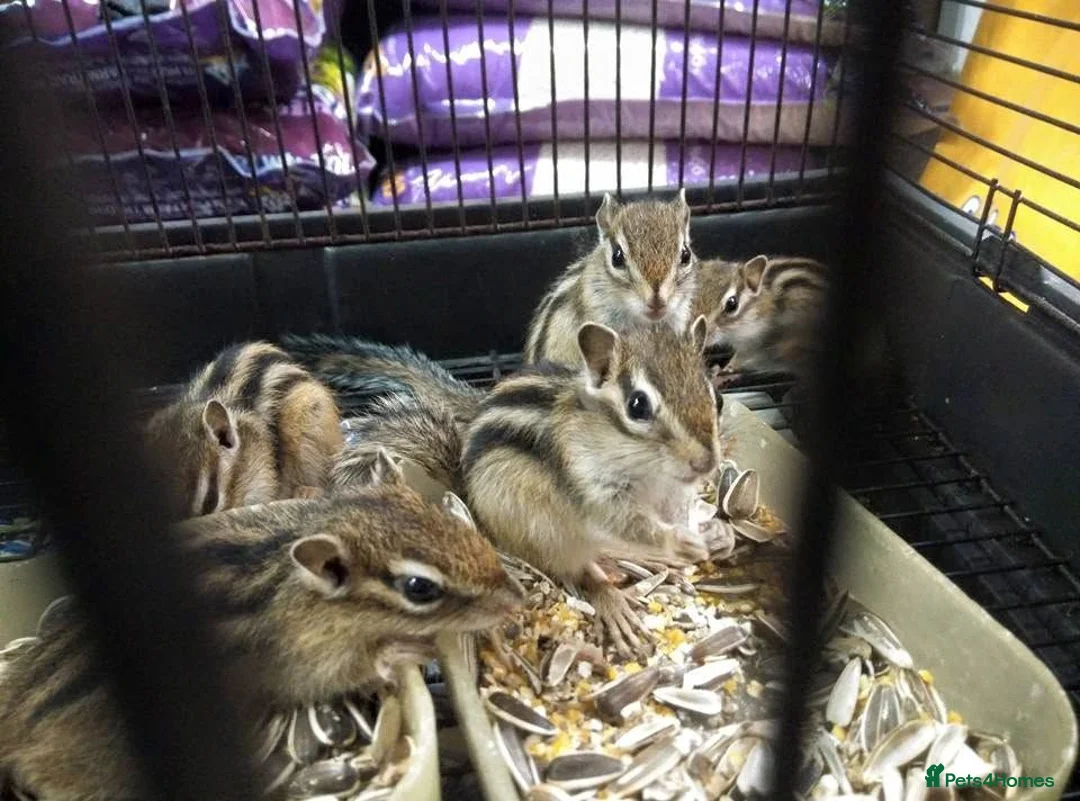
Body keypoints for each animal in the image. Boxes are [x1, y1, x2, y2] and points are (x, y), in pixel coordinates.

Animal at [0, 483, 521, 800]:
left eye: (432, 512)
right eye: (419, 588)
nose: (514, 599)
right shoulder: (305, 659)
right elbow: (354, 668)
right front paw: (406, 649)